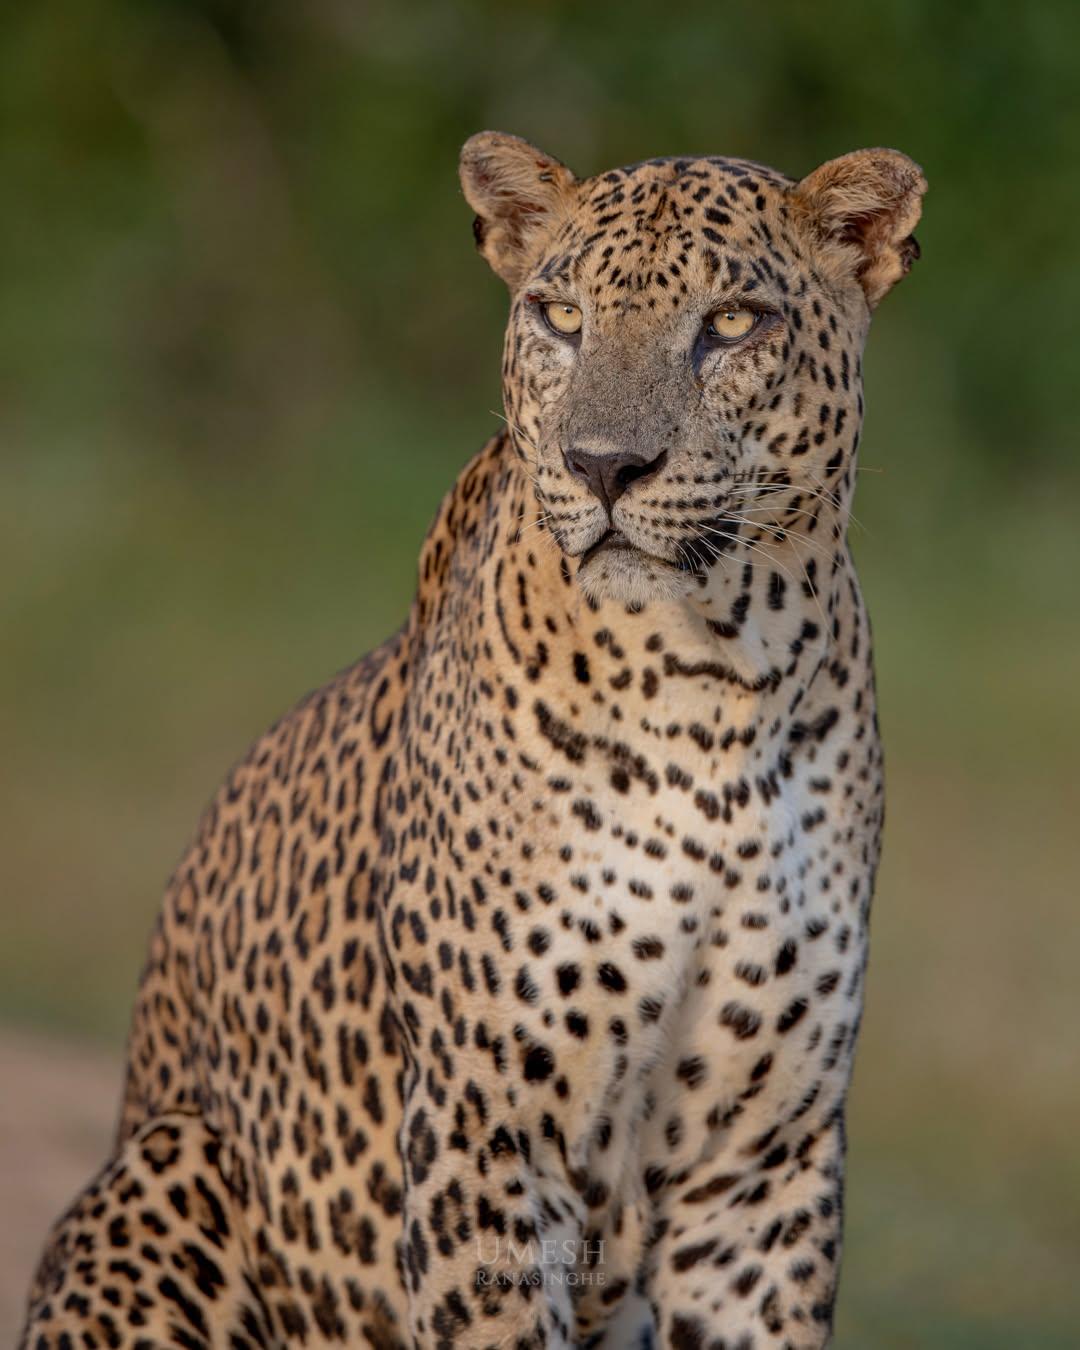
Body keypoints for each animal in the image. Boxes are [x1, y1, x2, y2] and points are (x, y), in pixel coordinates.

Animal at [21, 130, 925, 1350]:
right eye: (559, 315)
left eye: (732, 323)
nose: (603, 465)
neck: (715, 684)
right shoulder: (486, 1120)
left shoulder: (761, 1165)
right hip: (166, 1165)